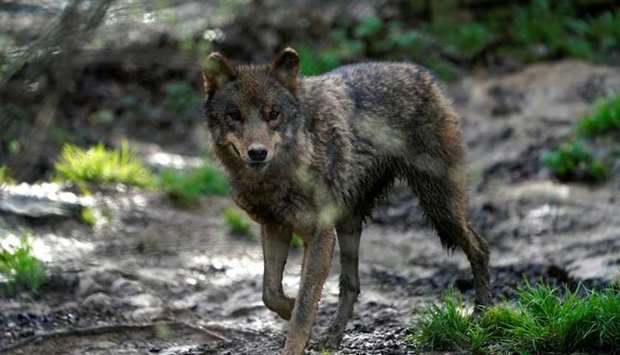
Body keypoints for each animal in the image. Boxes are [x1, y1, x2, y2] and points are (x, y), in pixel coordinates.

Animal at [201, 48, 492, 355]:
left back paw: (482, 313)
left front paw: (297, 334)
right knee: (351, 284)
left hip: (440, 209)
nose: (257, 153)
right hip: (349, 224)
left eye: (274, 114)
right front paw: (295, 314)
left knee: (480, 247)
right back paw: (332, 336)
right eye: (235, 115)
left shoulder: (319, 235)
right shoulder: (275, 228)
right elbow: (271, 293)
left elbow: (304, 307)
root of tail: (420, 72)